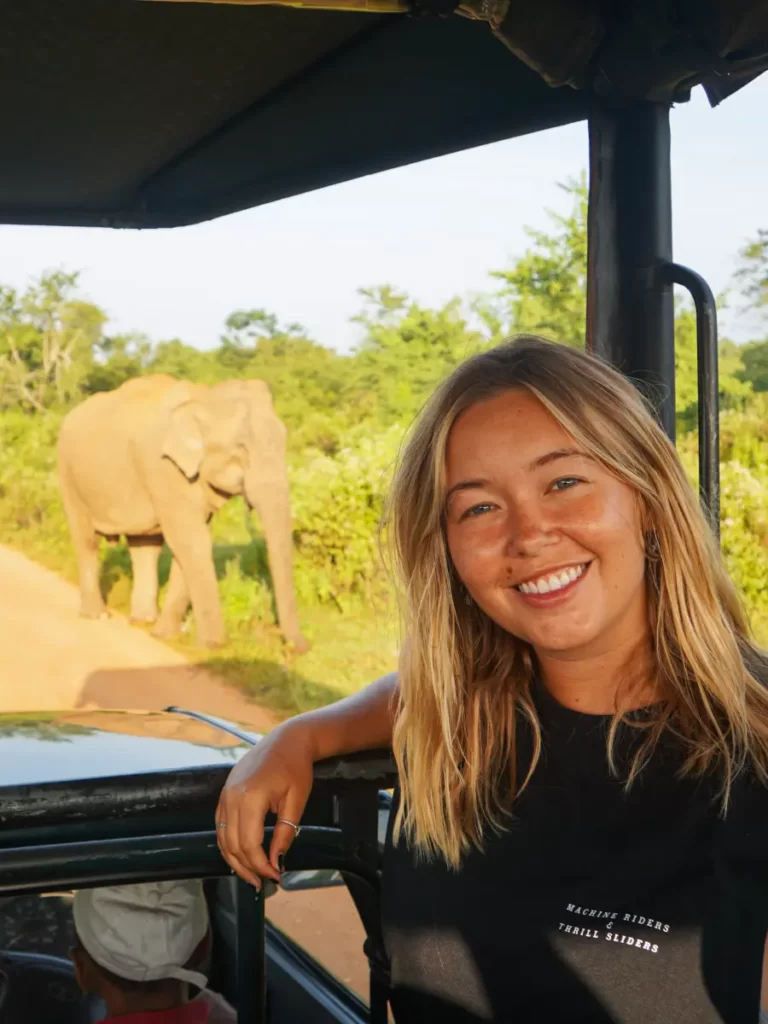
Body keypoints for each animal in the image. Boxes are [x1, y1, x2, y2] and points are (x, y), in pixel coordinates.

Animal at [57, 372, 309, 651]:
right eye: (241, 447)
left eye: (284, 442)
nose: (302, 648)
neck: (205, 395)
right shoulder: (163, 467)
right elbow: (190, 539)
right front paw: (213, 646)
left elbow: (190, 542)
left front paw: (165, 636)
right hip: (68, 474)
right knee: (86, 541)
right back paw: (97, 615)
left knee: (145, 546)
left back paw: (144, 621)